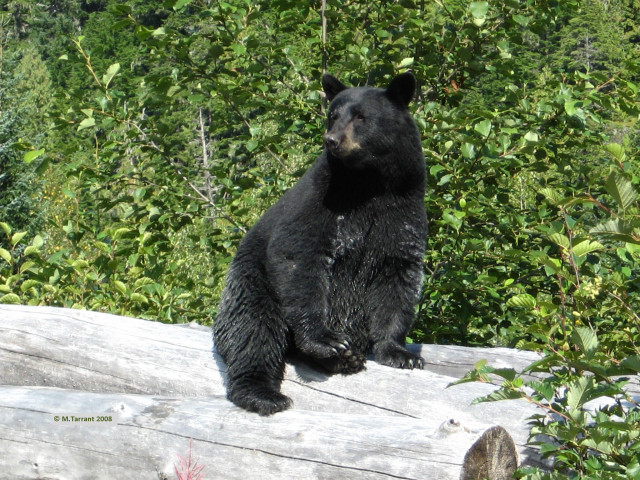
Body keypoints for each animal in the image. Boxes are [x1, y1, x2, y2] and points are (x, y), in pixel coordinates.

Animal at [213, 72, 427, 416]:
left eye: (361, 117)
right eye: (333, 115)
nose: (332, 140)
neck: (369, 184)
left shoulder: (402, 212)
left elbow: (399, 277)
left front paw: (400, 353)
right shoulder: (320, 202)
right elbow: (299, 257)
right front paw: (325, 339)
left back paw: (345, 359)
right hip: (250, 283)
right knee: (254, 332)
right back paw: (264, 392)